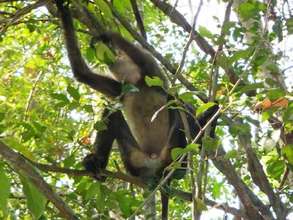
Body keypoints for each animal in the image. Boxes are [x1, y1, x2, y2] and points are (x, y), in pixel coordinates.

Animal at [55, 0, 219, 219]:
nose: (111, 59)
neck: (137, 84)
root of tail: (153, 164)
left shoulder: (150, 73)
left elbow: (146, 61)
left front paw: (107, 34)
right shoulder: (120, 88)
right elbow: (82, 73)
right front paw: (63, 8)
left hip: (172, 151)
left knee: (176, 105)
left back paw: (178, 169)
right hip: (134, 158)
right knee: (113, 111)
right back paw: (96, 163)